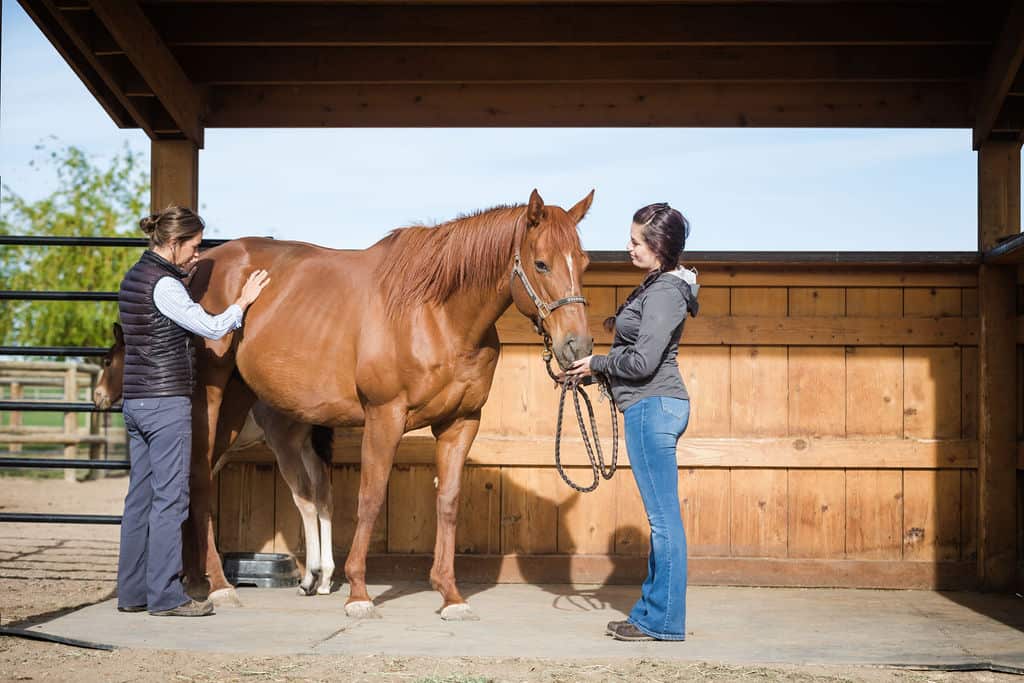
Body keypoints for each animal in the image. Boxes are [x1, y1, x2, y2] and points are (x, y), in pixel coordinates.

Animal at [188, 189, 598, 622]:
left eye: (584, 262)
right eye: (541, 263)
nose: (578, 346)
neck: (437, 315)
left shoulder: (461, 422)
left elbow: (448, 501)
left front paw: (450, 595)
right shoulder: (385, 415)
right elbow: (370, 498)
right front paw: (358, 594)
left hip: (238, 403)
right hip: (212, 400)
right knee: (200, 478)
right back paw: (218, 586)